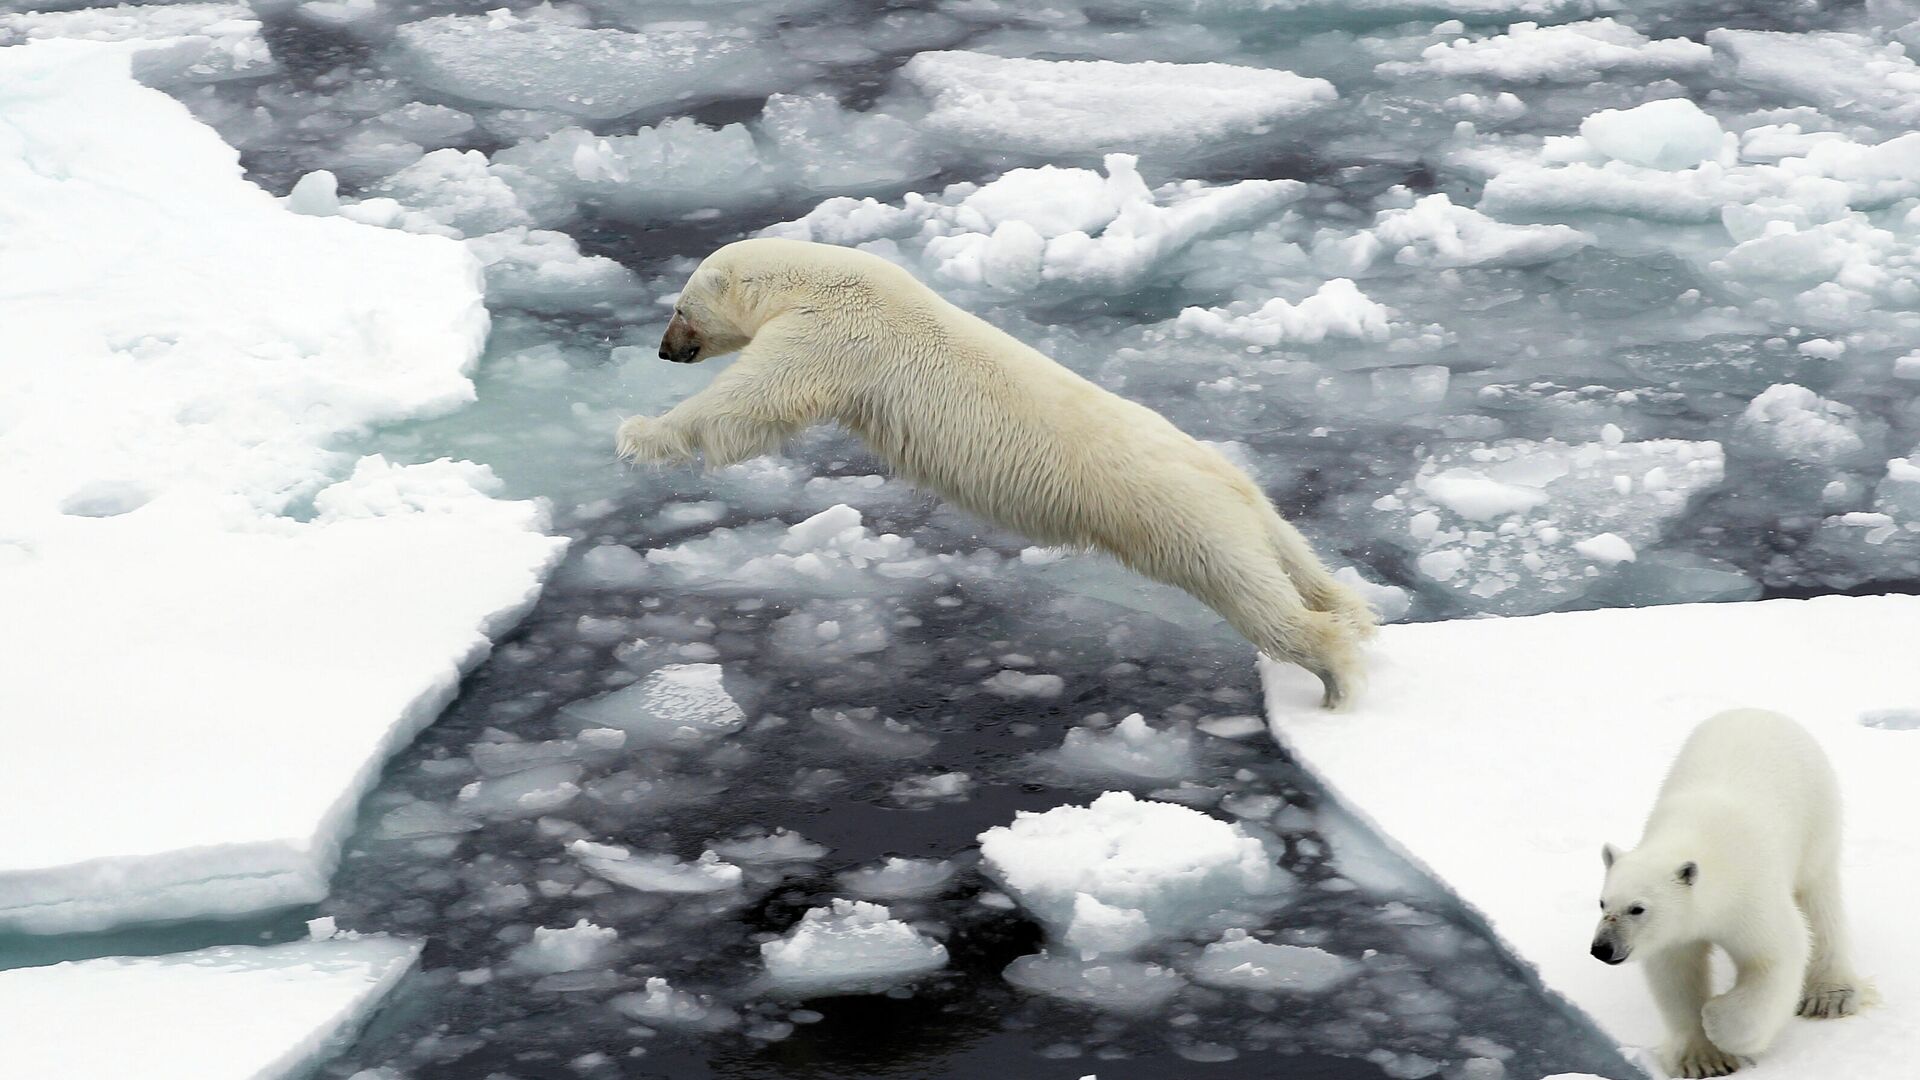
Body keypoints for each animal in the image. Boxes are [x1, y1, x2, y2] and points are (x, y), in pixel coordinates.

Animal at [618, 236, 1382, 707]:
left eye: (680, 309)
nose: (662, 351)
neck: (822, 276)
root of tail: (1230, 483)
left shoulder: (831, 332)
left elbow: (750, 401)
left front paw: (638, 433)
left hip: (1180, 518)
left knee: (1250, 595)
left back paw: (1336, 679)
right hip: (1240, 505)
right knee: (1297, 560)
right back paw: (1352, 611)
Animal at [1597, 707, 1866, 1076]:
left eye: (1638, 908)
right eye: (1602, 903)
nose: (1601, 948)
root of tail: (1759, 711)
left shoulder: (1750, 895)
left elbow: (1776, 955)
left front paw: (1716, 1018)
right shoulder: (1677, 931)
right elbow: (1676, 973)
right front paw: (1703, 1061)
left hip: (1817, 817)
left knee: (1818, 899)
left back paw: (1829, 996)